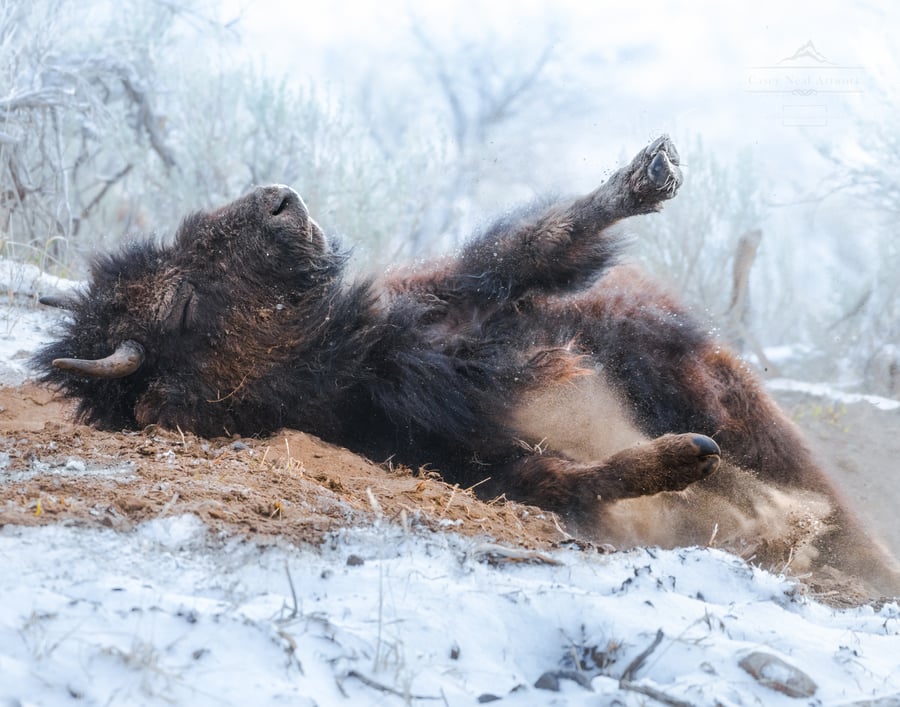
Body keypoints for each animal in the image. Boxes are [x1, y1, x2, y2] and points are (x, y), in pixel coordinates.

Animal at [33, 137, 900, 596]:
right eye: (179, 302)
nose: (280, 199)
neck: (364, 367)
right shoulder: (470, 461)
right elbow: (575, 479)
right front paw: (680, 460)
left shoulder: (466, 296)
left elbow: (537, 244)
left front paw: (645, 175)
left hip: (717, 387)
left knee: (826, 498)